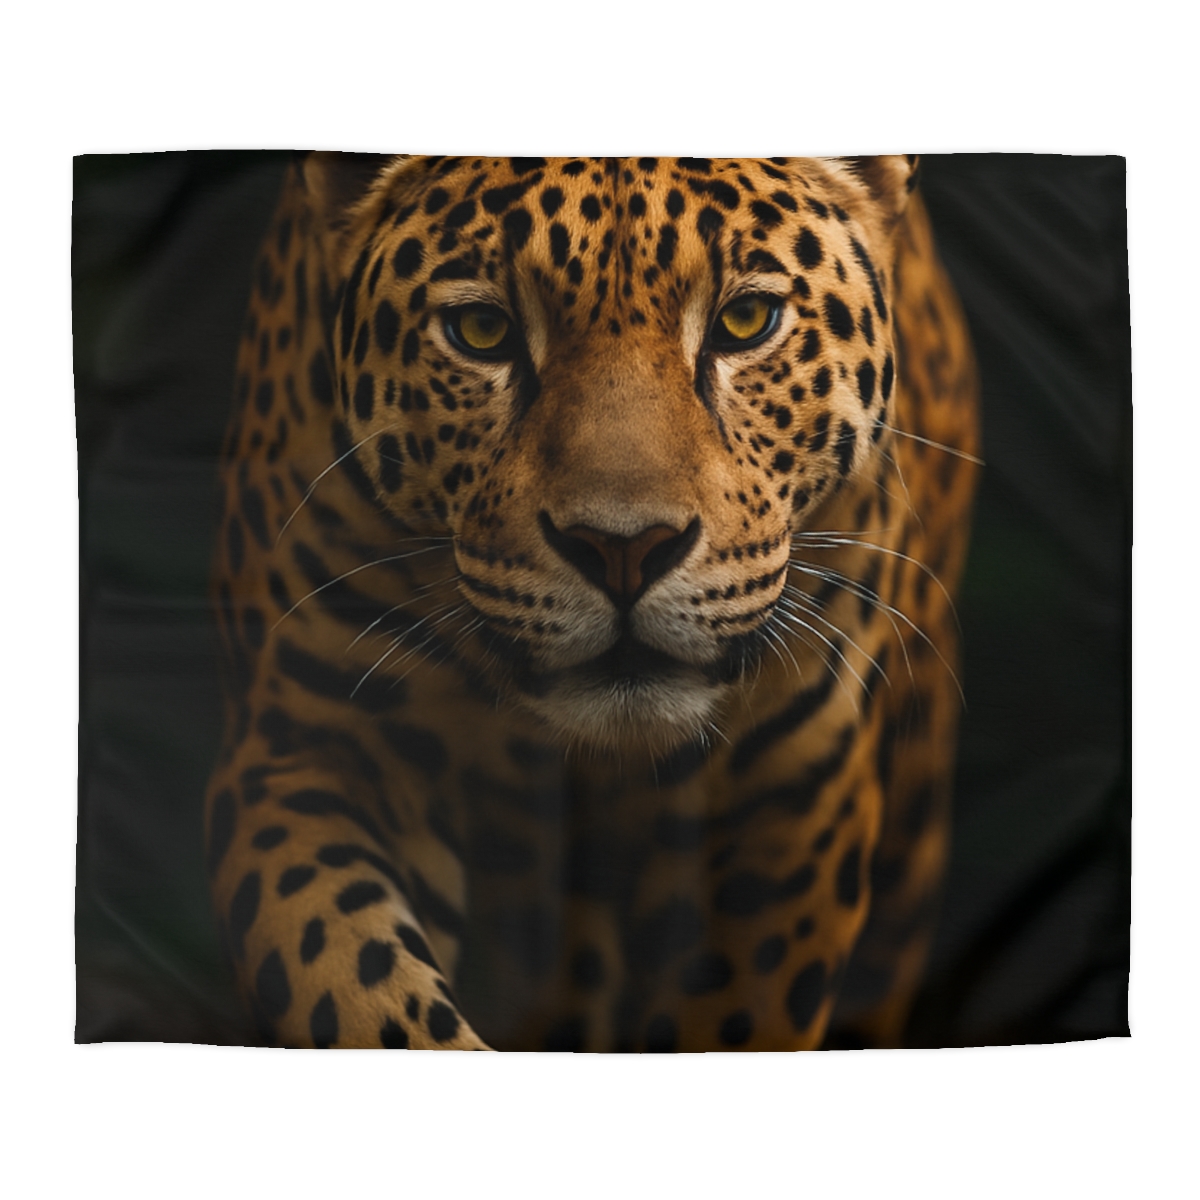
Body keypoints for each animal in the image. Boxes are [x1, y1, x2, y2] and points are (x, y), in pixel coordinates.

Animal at [205, 154, 979, 1051]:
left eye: (746, 320)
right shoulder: (305, 752)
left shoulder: (796, 799)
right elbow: (365, 996)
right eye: (482, 331)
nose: (624, 549)